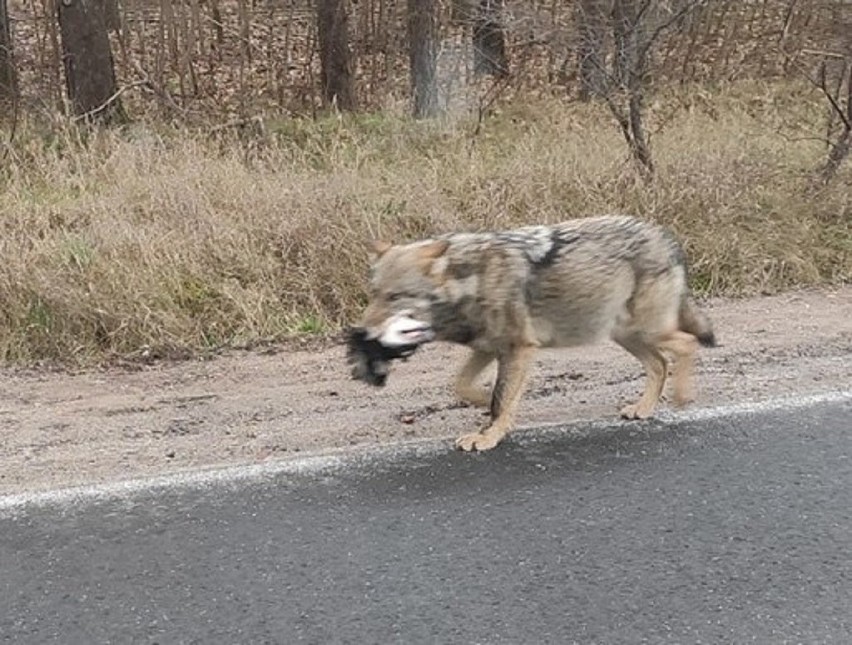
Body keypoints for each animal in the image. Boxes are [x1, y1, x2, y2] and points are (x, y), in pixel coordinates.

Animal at [350, 214, 716, 450]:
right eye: (373, 293)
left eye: (395, 297)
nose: (364, 332)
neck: (472, 281)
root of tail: (666, 237)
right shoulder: (488, 348)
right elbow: (463, 386)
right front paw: (487, 408)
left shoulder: (519, 348)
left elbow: (501, 397)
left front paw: (488, 436)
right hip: (623, 334)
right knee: (660, 364)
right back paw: (644, 409)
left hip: (644, 331)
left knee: (686, 344)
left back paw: (681, 397)